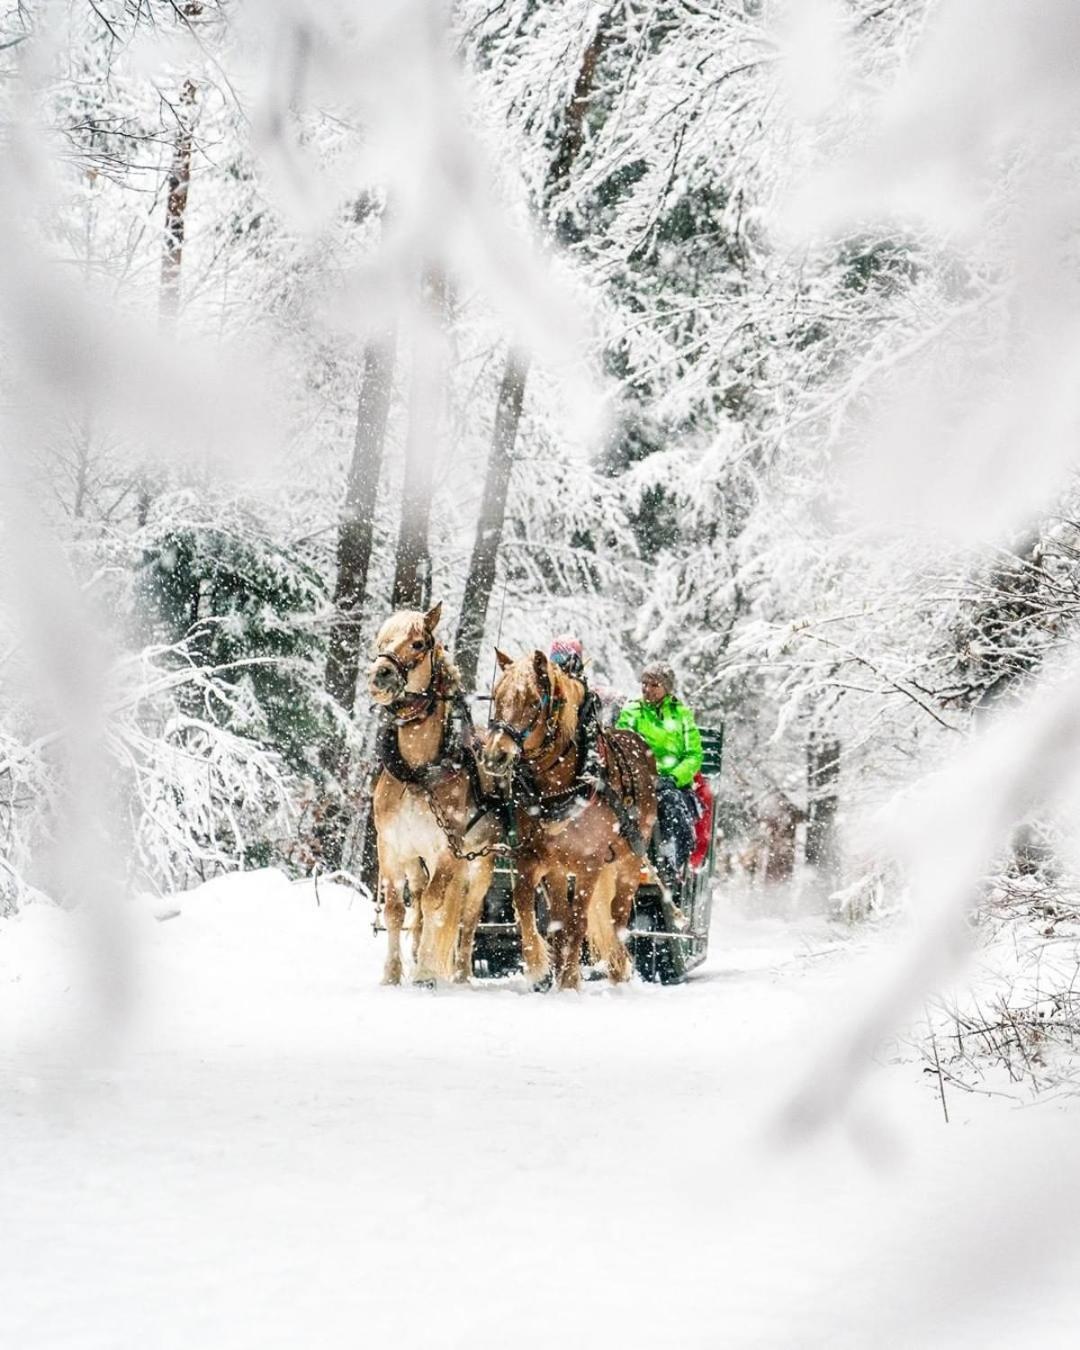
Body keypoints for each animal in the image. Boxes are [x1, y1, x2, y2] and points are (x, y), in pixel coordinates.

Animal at [364, 607, 496, 988]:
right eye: (381, 641)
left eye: (419, 643)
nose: (379, 674)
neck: (418, 775)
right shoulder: (392, 848)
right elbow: (396, 909)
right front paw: (393, 974)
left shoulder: (449, 853)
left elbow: (438, 905)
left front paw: (424, 971)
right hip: (418, 859)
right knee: (420, 900)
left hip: (479, 864)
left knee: (467, 917)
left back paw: (461, 974)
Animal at [480, 648, 658, 988]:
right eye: (496, 697)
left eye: (533, 702)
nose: (495, 756)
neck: (559, 787)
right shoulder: (533, 856)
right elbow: (526, 906)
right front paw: (539, 966)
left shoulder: (589, 864)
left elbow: (578, 923)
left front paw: (569, 982)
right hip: (562, 869)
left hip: (628, 863)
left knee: (617, 918)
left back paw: (617, 972)